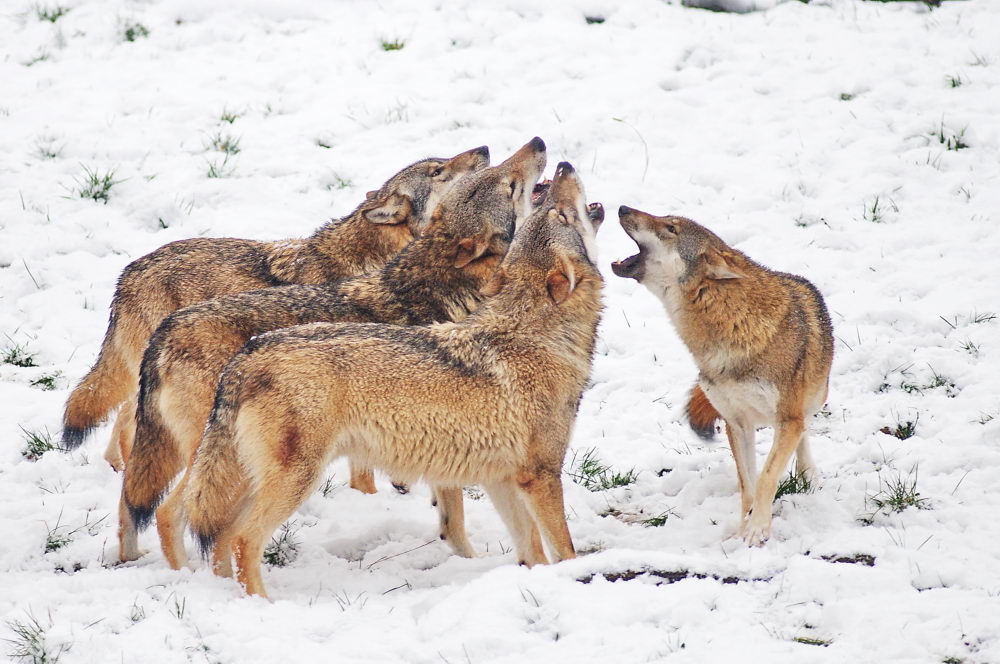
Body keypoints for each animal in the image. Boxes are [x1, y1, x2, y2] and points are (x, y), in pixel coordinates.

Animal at [121, 139, 552, 564]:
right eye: (439, 171)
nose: (532, 142)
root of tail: (165, 330)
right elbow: (454, 509)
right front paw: (470, 560)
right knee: (171, 512)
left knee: (136, 498)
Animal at [182, 163, 600, 600]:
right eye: (560, 215)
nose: (564, 167)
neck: (538, 336)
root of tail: (247, 355)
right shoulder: (541, 476)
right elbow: (563, 548)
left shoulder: (503, 479)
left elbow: (531, 552)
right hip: (294, 480)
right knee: (242, 539)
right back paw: (263, 603)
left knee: (219, 537)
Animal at [608, 210, 836, 548]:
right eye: (666, 219)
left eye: (671, 228)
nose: (622, 208)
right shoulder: (736, 423)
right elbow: (747, 485)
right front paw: (743, 528)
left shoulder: (786, 417)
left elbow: (767, 476)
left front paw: (757, 530)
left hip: (813, 399)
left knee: (804, 428)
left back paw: (809, 474)